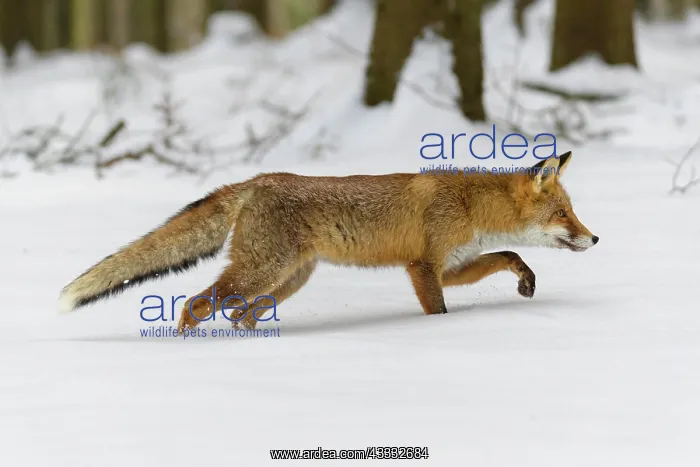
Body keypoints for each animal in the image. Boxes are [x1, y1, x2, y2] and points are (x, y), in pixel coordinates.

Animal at [59, 151, 598, 332]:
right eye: (564, 214)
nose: (594, 237)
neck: (470, 205)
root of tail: (256, 180)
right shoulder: (424, 267)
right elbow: (440, 311)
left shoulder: (451, 265)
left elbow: (510, 253)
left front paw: (526, 282)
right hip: (263, 272)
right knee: (197, 304)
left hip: (288, 279)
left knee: (237, 314)